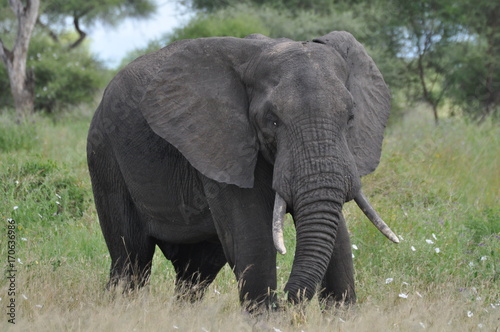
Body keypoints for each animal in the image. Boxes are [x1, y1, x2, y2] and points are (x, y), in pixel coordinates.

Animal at [86, 31, 398, 312]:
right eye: (272, 121)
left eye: (350, 117)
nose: (288, 301)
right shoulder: (222, 142)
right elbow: (254, 236)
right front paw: (267, 316)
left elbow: (339, 239)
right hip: (104, 155)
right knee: (131, 259)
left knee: (197, 269)